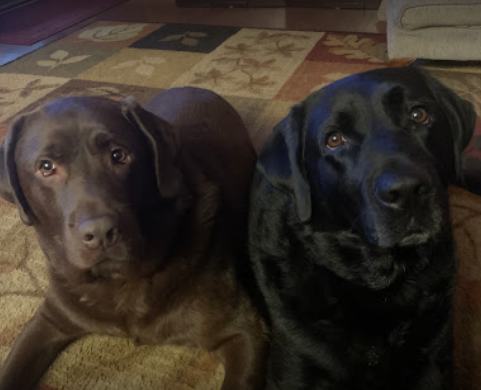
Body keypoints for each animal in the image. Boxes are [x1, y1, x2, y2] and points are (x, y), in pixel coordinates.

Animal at [249, 68, 474, 390]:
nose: (405, 191)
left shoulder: (435, 358)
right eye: (334, 140)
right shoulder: (296, 364)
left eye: (418, 114)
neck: (381, 285)